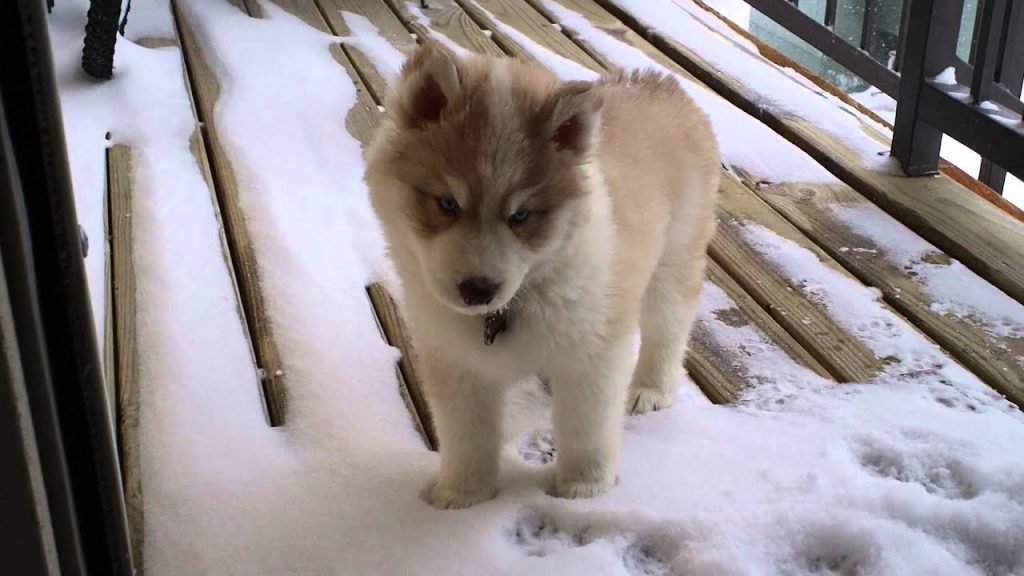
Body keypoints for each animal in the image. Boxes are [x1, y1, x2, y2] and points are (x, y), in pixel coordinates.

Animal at [364, 41, 716, 506]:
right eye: (446, 203)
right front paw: (463, 495)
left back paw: (650, 389)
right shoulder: (457, 363)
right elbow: (467, 435)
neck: (513, 305)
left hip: (674, 259)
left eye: (521, 215)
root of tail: (662, 83)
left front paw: (585, 489)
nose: (478, 290)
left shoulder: (594, 354)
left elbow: (586, 428)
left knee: (669, 327)